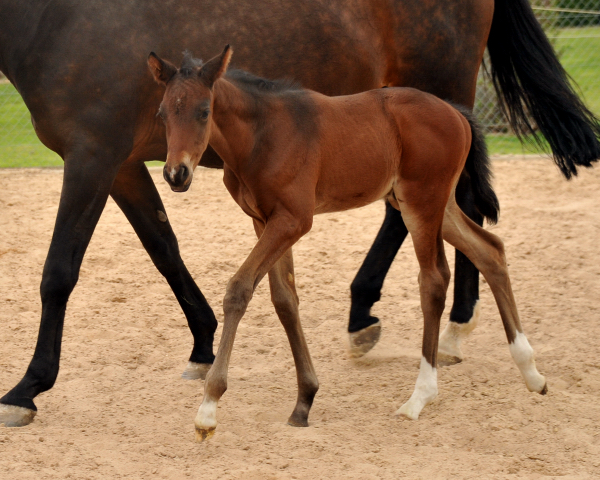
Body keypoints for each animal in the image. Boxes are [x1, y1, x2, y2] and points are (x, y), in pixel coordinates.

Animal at [148, 47, 548, 440]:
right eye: (163, 113)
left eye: (204, 111)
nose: (175, 174)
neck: (262, 135)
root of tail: (457, 113)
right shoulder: (264, 221)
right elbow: (284, 301)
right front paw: (304, 401)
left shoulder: (293, 220)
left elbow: (239, 289)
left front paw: (208, 409)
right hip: (437, 205)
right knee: (491, 250)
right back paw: (531, 372)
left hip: (422, 203)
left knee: (434, 279)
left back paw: (420, 396)